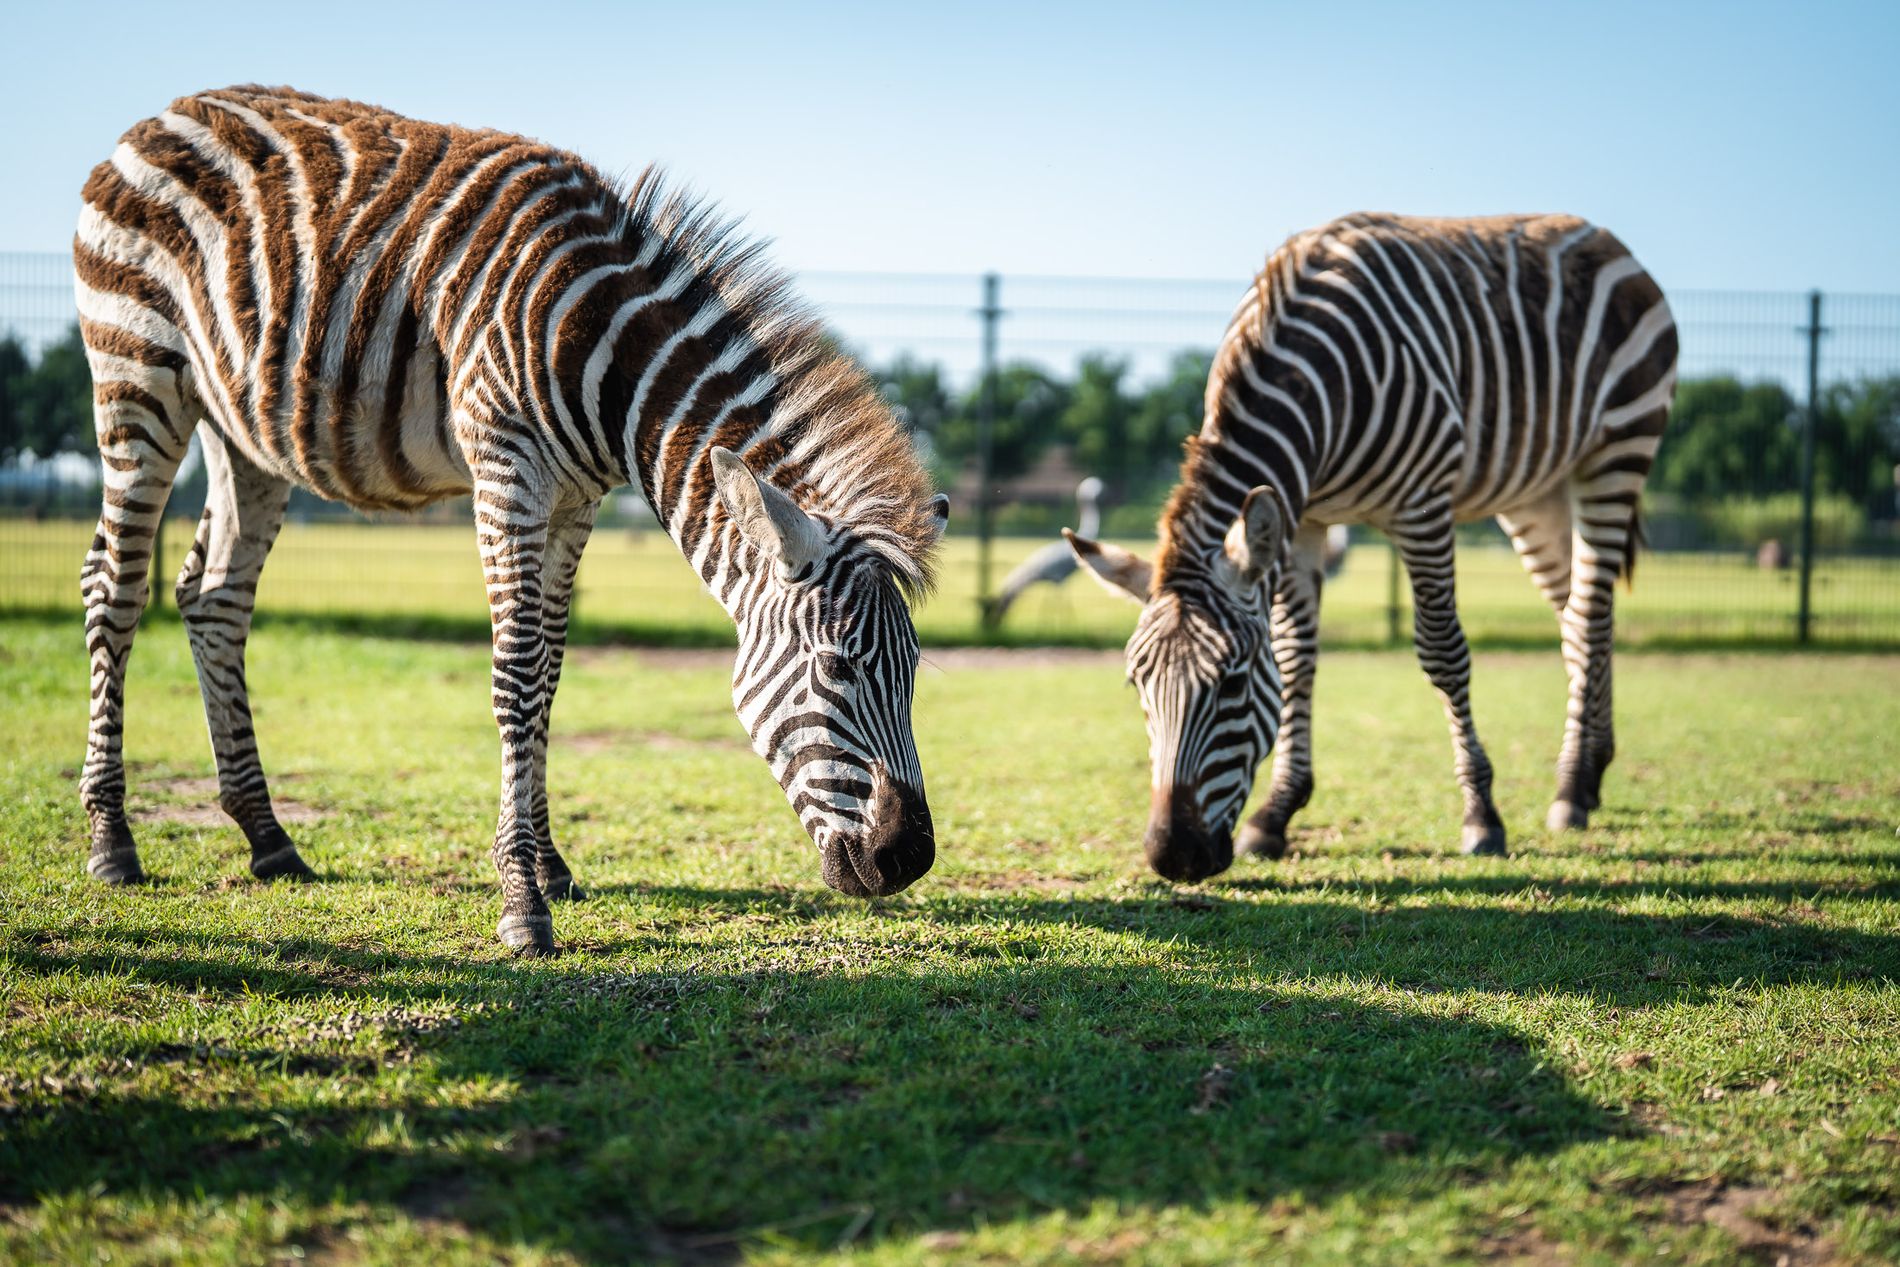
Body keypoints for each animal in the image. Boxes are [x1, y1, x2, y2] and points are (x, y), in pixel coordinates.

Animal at [73, 86, 949, 954]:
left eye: (913, 670)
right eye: (836, 668)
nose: (908, 859)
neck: (605, 360)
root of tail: (159, 117)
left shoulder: (574, 502)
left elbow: (551, 674)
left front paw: (550, 864)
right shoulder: (506, 472)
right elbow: (516, 673)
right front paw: (524, 899)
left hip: (241, 431)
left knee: (214, 597)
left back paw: (267, 836)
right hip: (138, 380)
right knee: (113, 589)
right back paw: (112, 840)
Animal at [1066, 213, 1676, 881]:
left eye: (1231, 683)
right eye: (1136, 686)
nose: (1173, 856)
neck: (1310, 381)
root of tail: (1601, 235)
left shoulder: (1422, 505)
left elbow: (1442, 653)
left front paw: (1481, 815)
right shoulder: (1299, 518)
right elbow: (1296, 659)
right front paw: (1276, 813)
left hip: (1616, 452)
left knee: (1588, 614)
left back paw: (1569, 790)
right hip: (1537, 493)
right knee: (1579, 612)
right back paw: (1591, 774)